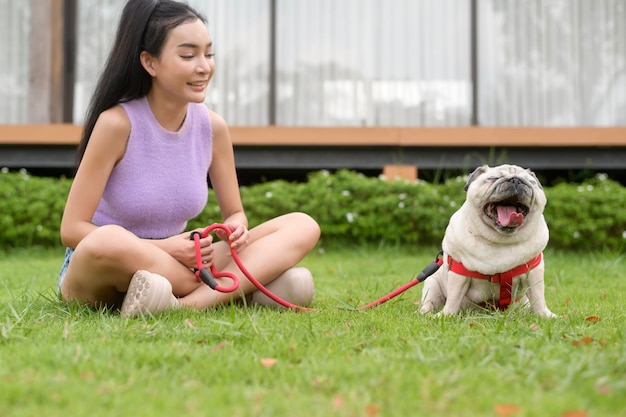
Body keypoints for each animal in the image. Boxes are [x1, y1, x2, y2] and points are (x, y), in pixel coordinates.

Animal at [420, 164, 556, 316]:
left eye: (531, 182)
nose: (516, 180)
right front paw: (446, 315)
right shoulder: (458, 276)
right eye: (494, 178)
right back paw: (425, 312)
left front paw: (545, 316)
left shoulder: (533, 274)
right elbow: (453, 298)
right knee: (430, 302)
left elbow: (538, 298)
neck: (500, 241)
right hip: (432, 284)